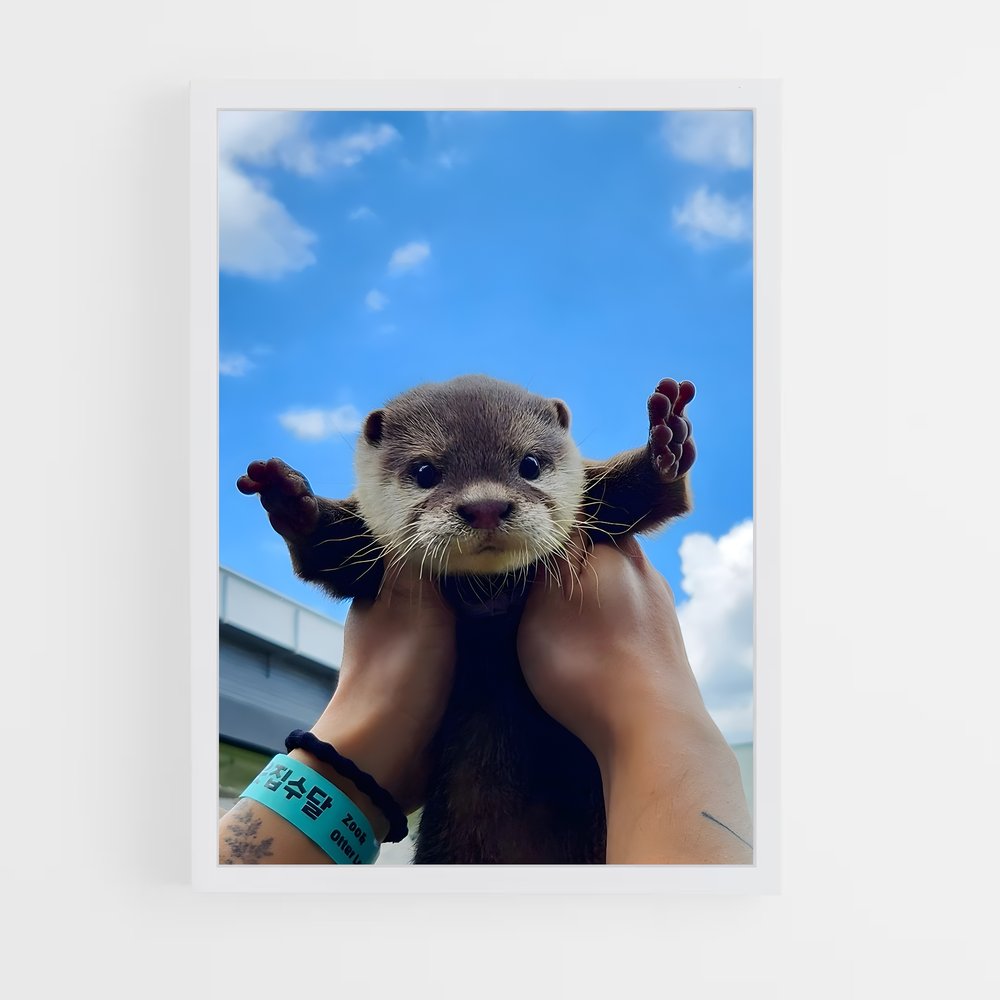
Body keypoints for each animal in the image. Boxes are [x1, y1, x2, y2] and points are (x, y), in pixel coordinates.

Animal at [237, 374, 696, 863]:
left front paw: (665, 443)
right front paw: (291, 500)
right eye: (425, 472)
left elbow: (649, 497)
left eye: (530, 464)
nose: (486, 506)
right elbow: (328, 556)